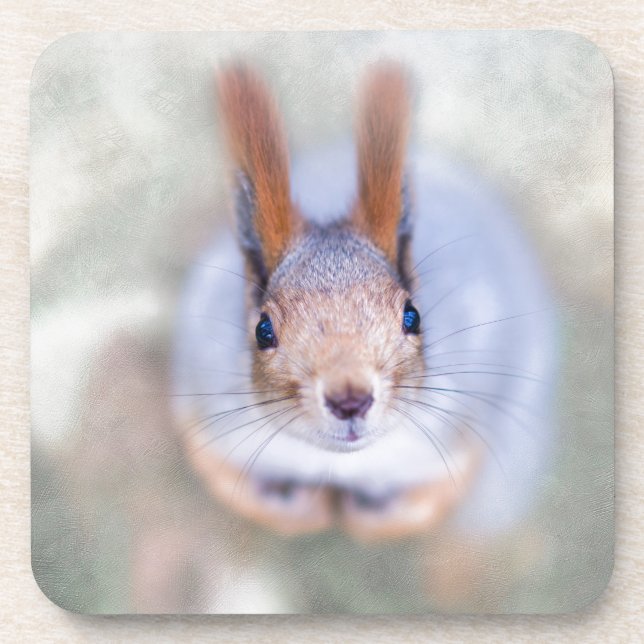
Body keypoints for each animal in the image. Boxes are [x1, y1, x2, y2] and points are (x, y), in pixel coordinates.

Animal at [171, 62, 557, 542]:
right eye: (263, 329)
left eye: (412, 315)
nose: (350, 400)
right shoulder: (204, 412)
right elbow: (225, 478)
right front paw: (304, 508)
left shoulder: (465, 429)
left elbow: (428, 500)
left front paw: (366, 515)